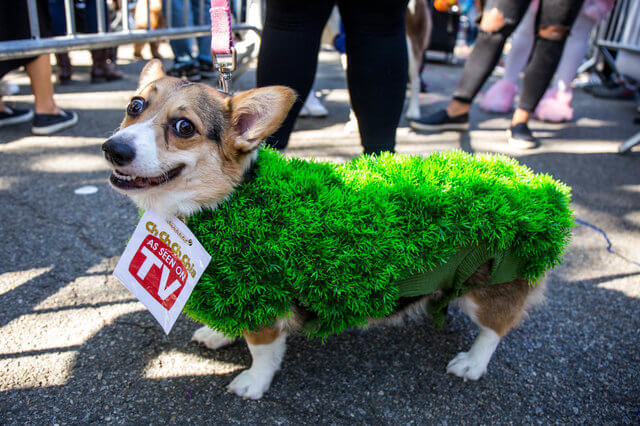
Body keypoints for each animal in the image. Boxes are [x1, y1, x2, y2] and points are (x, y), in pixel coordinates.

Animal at [104, 60, 544, 400]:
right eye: (134, 105)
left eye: (183, 127)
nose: (113, 149)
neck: (224, 202)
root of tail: (528, 183)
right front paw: (216, 333)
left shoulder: (266, 301)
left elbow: (262, 350)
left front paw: (253, 383)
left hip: (490, 284)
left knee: (496, 328)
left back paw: (472, 362)